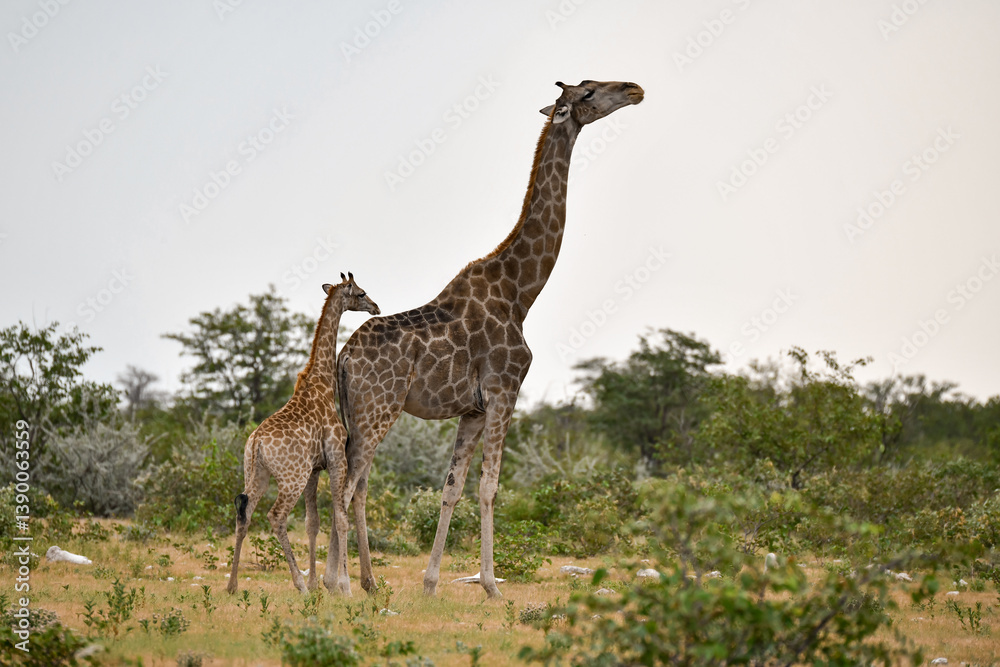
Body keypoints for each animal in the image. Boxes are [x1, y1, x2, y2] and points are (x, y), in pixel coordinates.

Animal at [227, 273, 380, 595]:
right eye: (361, 293)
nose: (376, 307)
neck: (321, 381)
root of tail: (256, 442)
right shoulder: (335, 459)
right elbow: (340, 517)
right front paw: (342, 587)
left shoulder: (314, 469)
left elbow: (313, 523)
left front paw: (318, 581)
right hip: (290, 478)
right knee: (275, 516)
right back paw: (299, 585)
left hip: (257, 473)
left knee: (243, 514)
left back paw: (232, 585)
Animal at [337, 80, 644, 598]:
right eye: (588, 91)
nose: (635, 89)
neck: (520, 292)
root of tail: (340, 360)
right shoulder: (505, 390)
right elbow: (489, 486)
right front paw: (492, 586)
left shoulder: (473, 409)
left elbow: (451, 488)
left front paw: (431, 583)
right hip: (378, 409)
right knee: (345, 486)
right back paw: (337, 584)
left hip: (359, 415)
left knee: (349, 484)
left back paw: (360, 581)